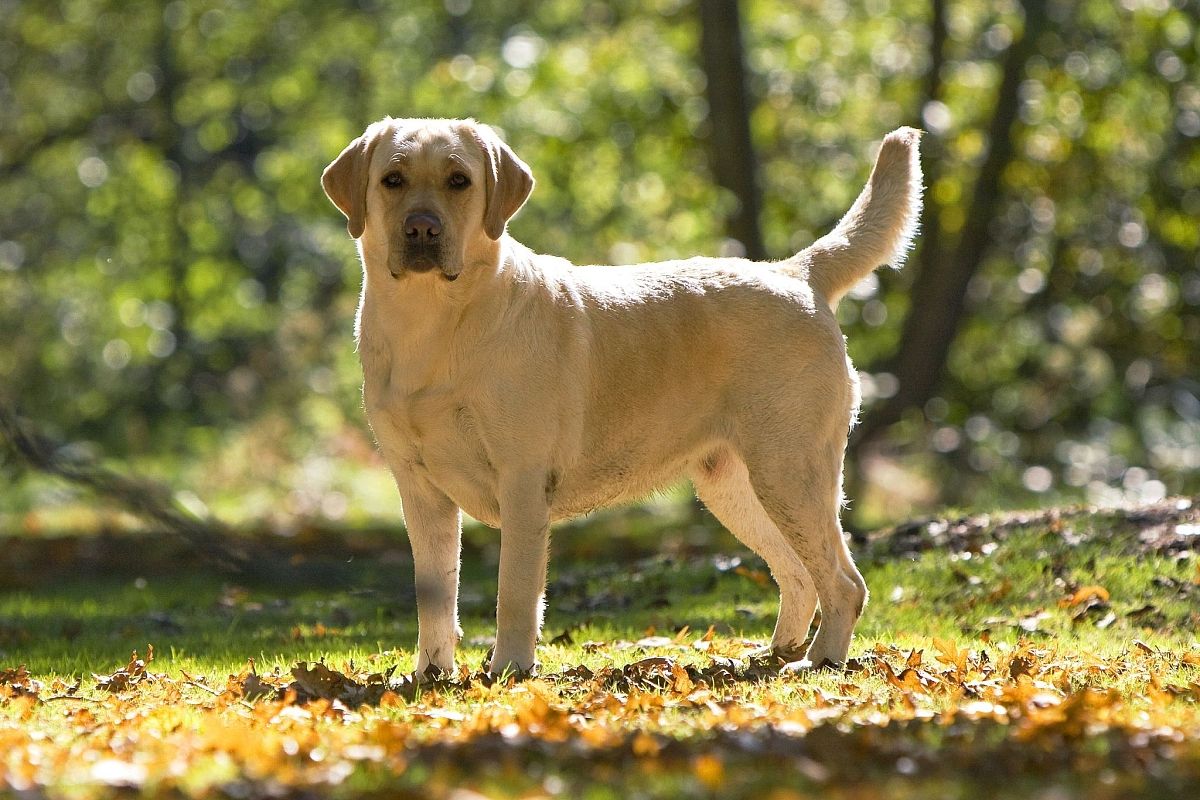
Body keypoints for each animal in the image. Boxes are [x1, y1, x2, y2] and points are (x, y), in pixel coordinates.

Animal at [319, 118, 916, 681]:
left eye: (459, 181)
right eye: (393, 180)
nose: (422, 228)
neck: (432, 323)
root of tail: (794, 272)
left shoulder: (522, 480)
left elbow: (515, 592)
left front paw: (509, 669)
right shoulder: (418, 489)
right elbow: (435, 595)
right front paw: (432, 674)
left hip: (789, 473)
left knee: (844, 582)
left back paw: (819, 660)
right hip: (736, 486)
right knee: (798, 572)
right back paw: (775, 654)